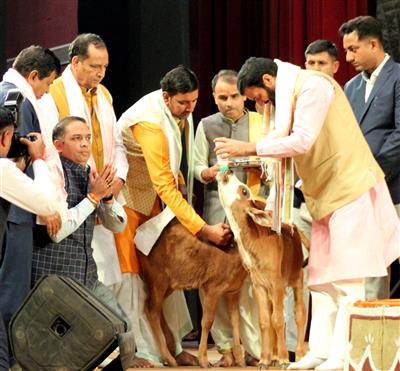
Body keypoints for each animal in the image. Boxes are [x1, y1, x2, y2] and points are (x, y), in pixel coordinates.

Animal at [139, 219, 248, 368]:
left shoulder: (234, 291)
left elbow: (236, 320)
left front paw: (240, 360)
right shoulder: (213, 287)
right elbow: (207, 321)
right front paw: (204, 361)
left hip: (170, 284)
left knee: (153, 307)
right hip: (157, 278)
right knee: (152, 310)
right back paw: (170, 359)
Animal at [219, 171, 306, 370]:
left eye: (244, 191)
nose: (228, 172)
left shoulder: (278, 284)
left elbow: (279, 320)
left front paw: (284, 359)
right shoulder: (259, 285)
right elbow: (265, 321)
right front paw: (265, 359)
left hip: (297, 278)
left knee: (299, 315)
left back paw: (298, 355)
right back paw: (273, 356)